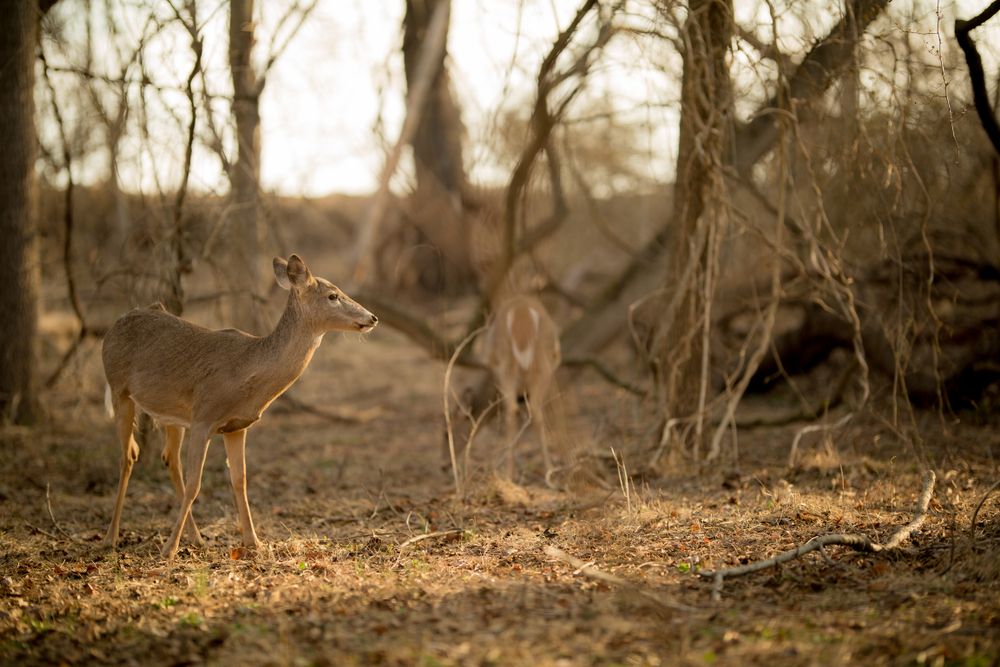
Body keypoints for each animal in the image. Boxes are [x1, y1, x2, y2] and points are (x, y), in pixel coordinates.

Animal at [101, 254, 377, 559]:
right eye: (333, 295)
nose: (372, 317)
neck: (247, 372)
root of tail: (114, 325)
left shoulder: (236, 427)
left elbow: (240, 480)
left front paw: (253, 542)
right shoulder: (204, 418)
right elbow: (196, 484)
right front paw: (168, 550)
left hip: (171, 414)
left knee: (169, 459)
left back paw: (196, 538)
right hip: (119, 389)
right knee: (128, 456)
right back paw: (111, 537)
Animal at [483, 293, 561, 478]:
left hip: (508, 369)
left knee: (513, 409)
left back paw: (511, 473)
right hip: (540, 368)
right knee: (533, 410)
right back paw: (548, 471)